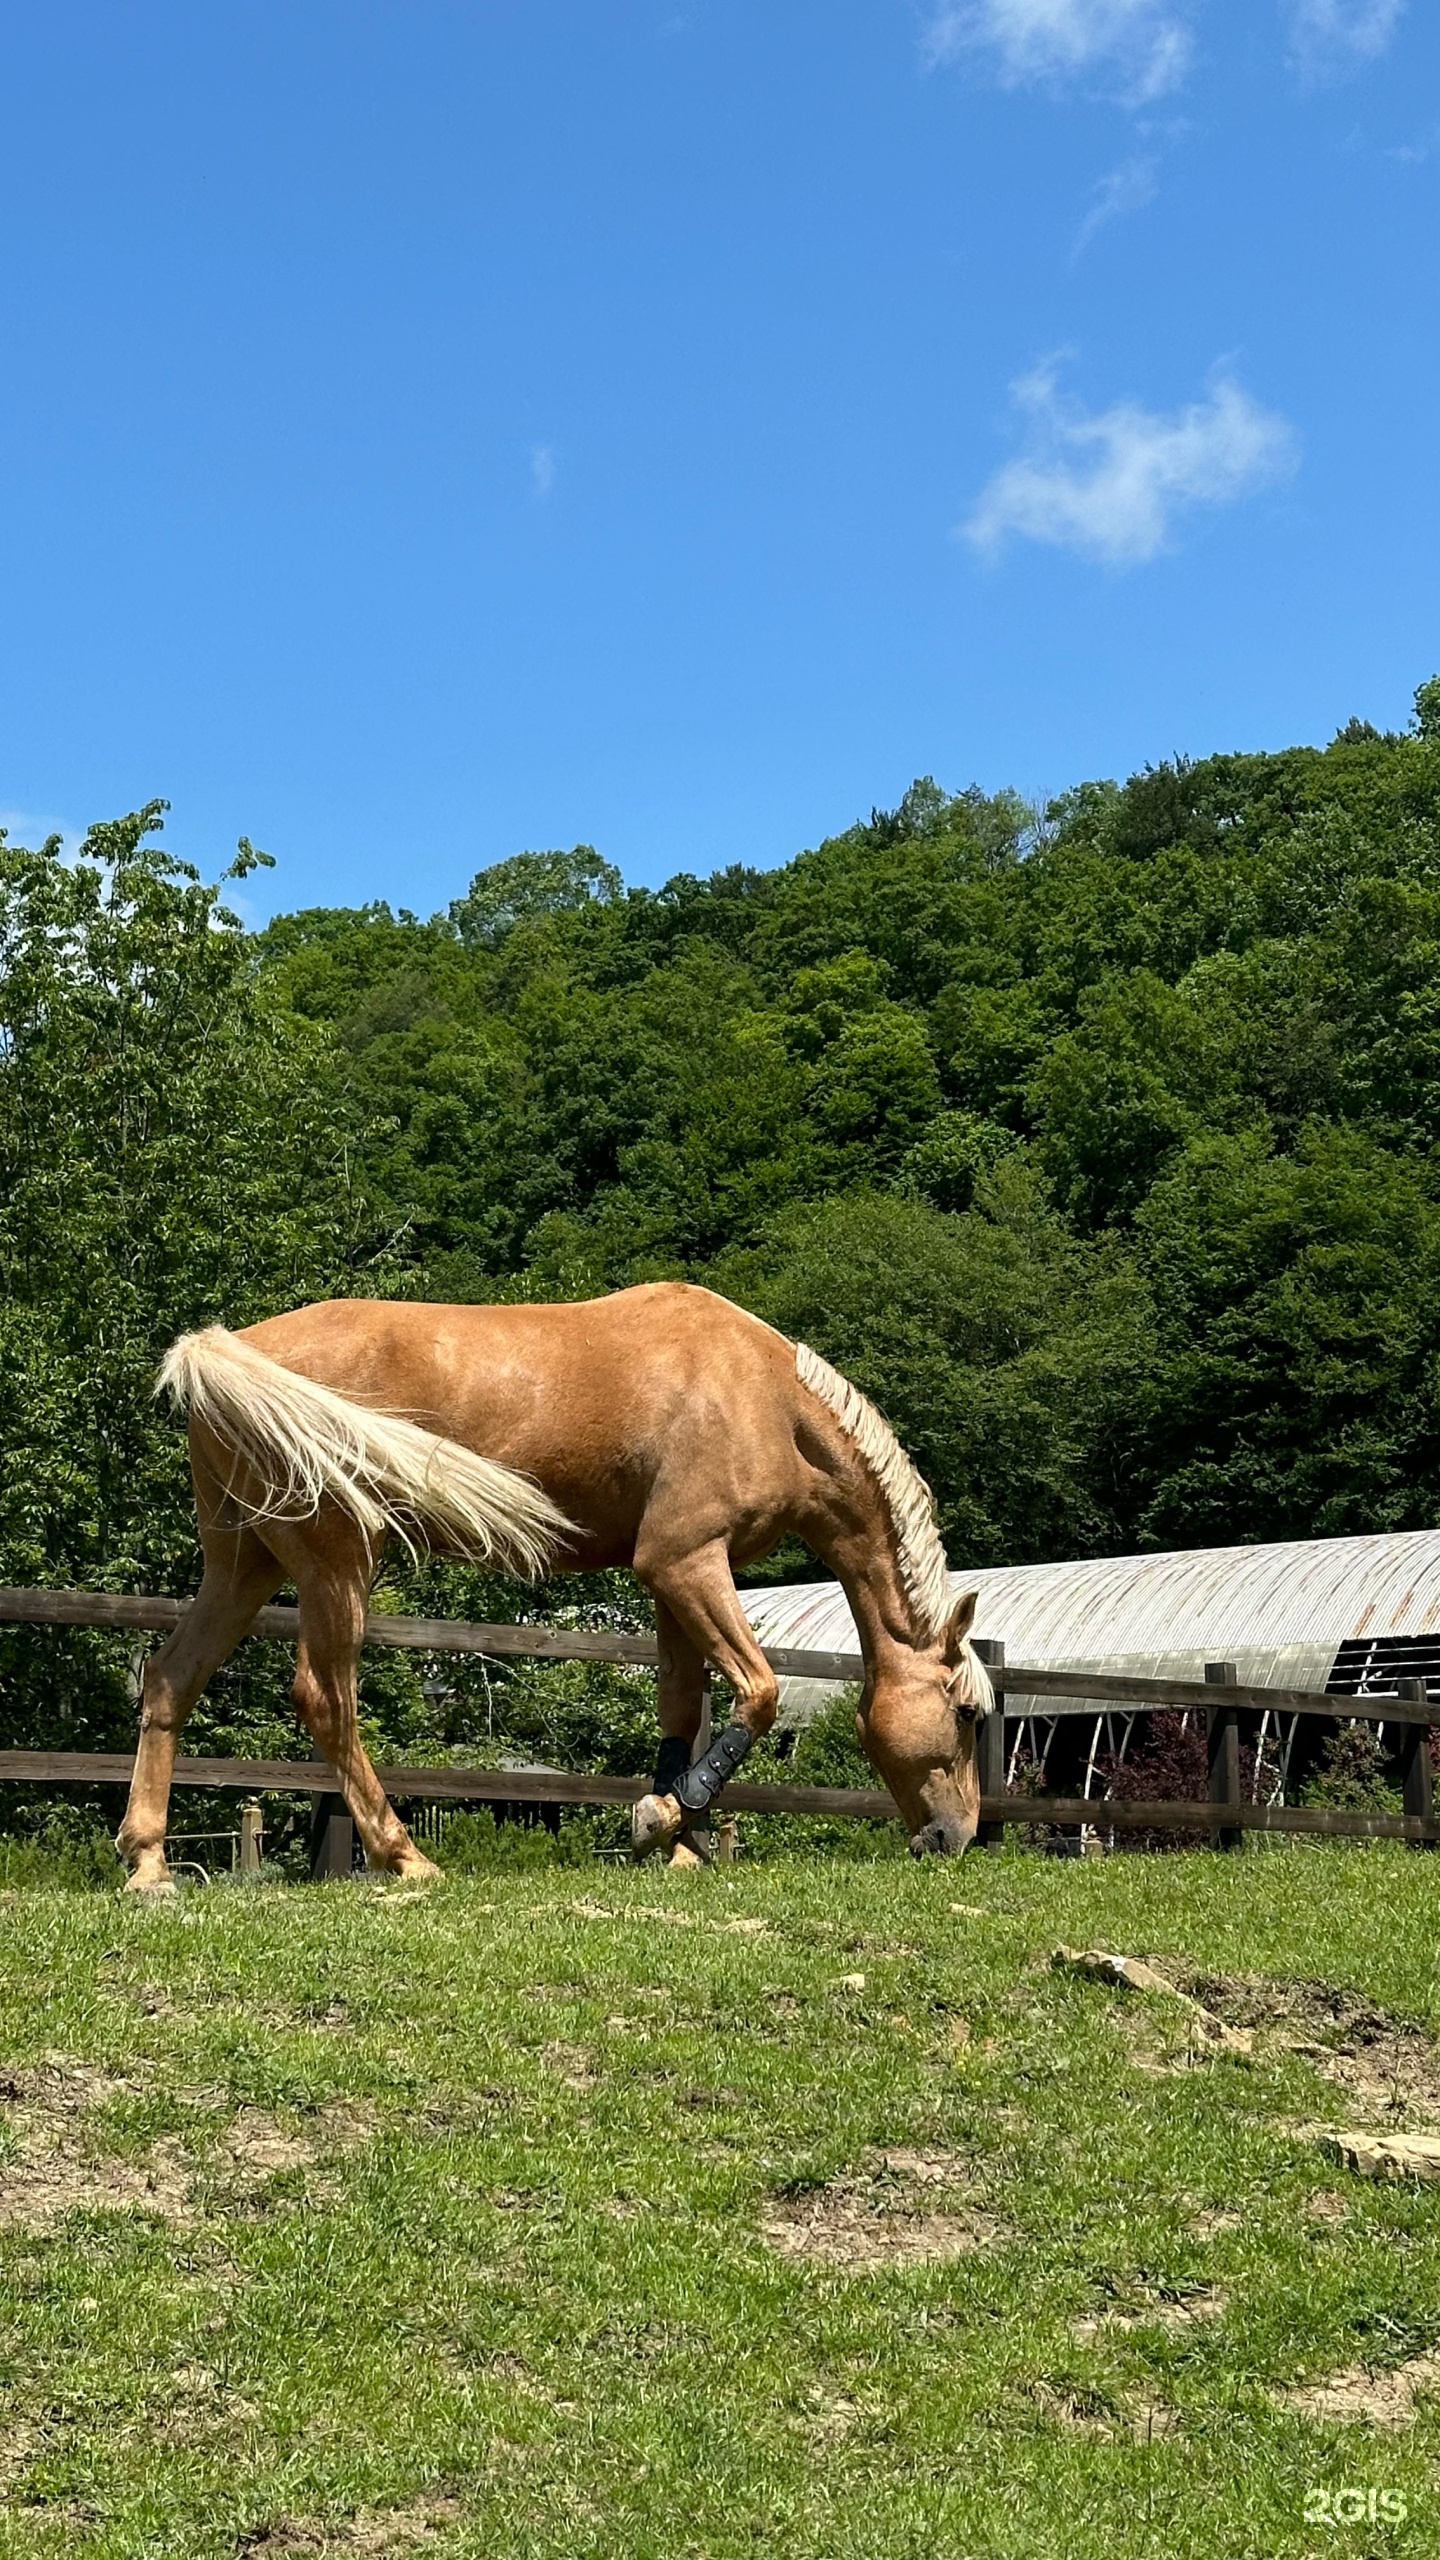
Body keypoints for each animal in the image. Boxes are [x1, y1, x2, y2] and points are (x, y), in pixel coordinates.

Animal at [117, 1290, 983, 1894]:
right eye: (970, 1714)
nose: (957, 1837)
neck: (763, 1394)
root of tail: (226, 1349)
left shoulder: (673, 1580)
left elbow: (682, 1710)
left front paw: (677, 1840)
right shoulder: (685, 1562)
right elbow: (759, 1690)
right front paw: (664, 1818)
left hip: (245, 1567)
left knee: (172, 1678)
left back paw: (148, 1864)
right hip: (337, 1567)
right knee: (326, 1702)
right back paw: (405, 1857)